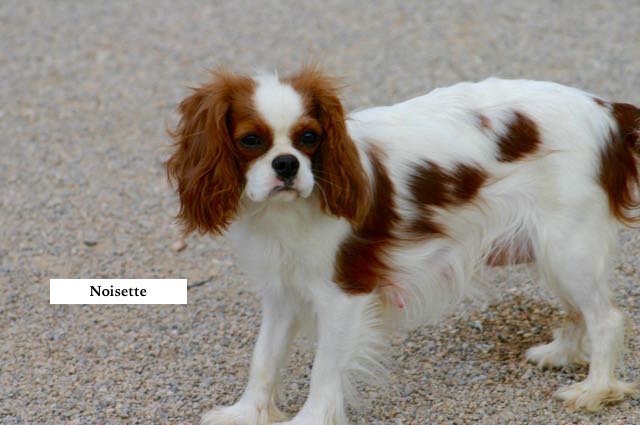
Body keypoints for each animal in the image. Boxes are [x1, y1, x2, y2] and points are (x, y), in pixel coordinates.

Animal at [169, 64, 640, 422]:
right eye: (250, 140)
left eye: (309, 138)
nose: (286, 165)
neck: (287, 212)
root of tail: (607, 110)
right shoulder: (283, 292)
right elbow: (263, 359)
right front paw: (245, 412)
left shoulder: (344, 294)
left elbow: (325, 369)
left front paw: (310, 419)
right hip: (554, 250)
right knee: (579, 310)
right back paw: (561, 353)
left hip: (568, 247)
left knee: (605, 318)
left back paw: (596, 390)